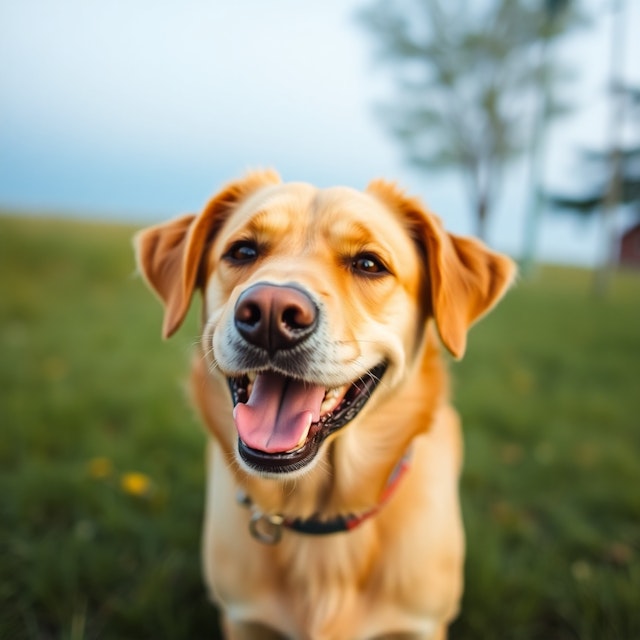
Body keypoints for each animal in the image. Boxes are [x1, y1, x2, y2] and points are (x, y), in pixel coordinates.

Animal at [135, 171, 516, 640]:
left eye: (369, 264)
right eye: (243, 251)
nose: (270, 313)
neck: (319, 520)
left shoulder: (421, 626)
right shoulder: (243, 620)